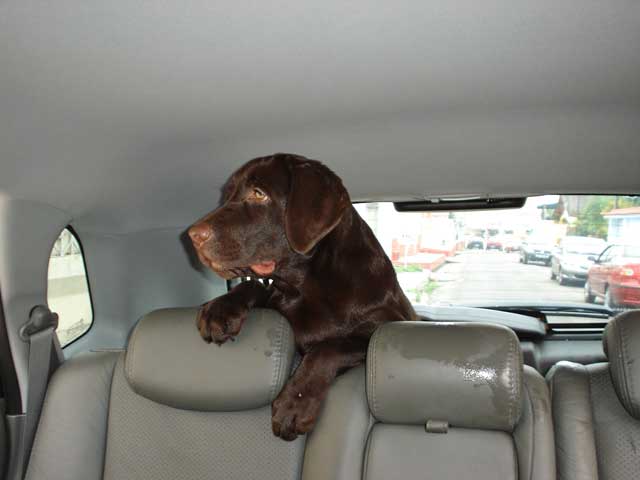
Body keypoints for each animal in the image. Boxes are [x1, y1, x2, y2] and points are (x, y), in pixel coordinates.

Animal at [189, 153, 416, 440]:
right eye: (226, 196)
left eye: (259, 193)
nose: (193, 236)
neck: (303, 286)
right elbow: (253, 286)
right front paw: (220, 309)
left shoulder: (381, 331)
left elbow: (328, 348)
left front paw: (294, 405)